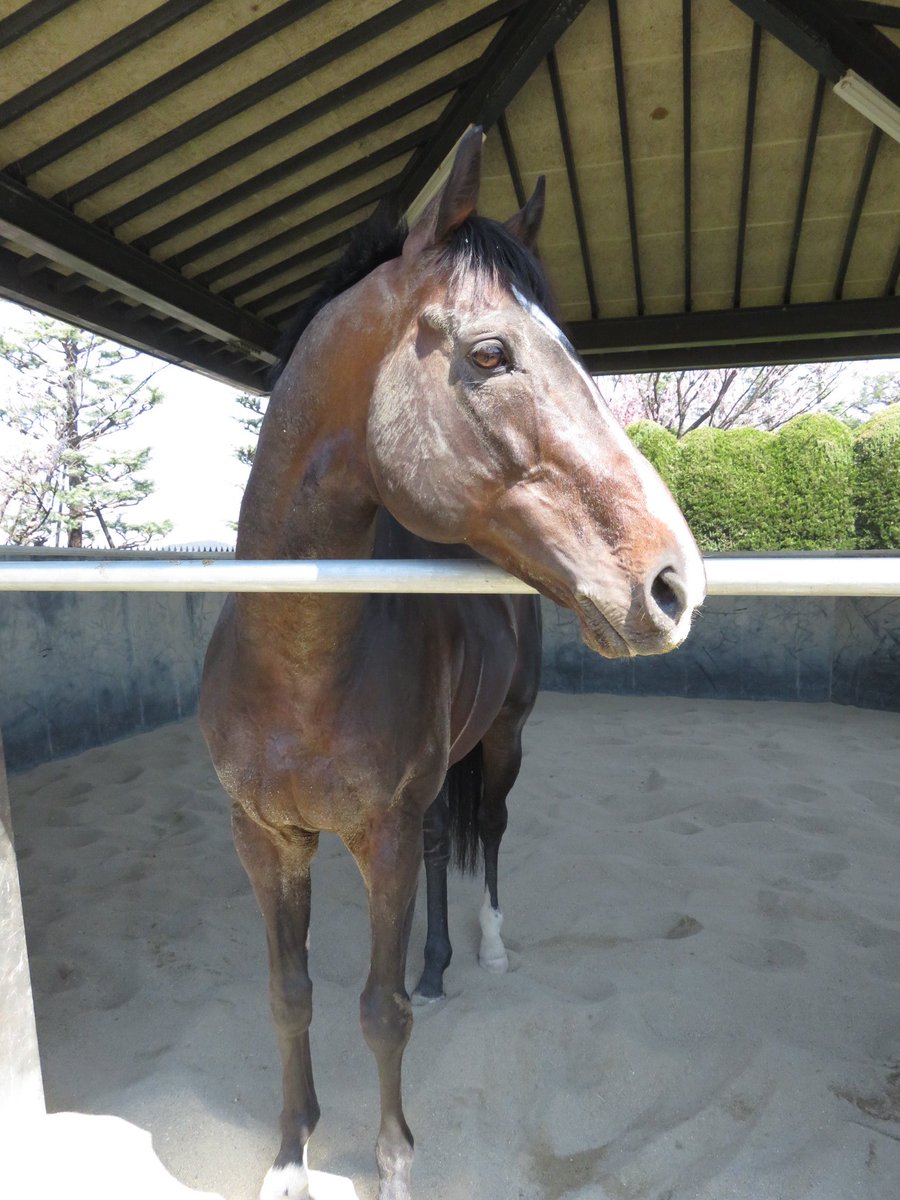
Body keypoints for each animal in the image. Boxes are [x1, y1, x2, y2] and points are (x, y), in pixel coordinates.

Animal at [199, 127, 705, 1200]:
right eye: (490, 353)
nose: (673, 583)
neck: (296, 676)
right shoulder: (265, 840)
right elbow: (290, 995)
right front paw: (291, 1153)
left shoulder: (381, 837)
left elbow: (378, 1009)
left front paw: (393, 1159)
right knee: (444, 849)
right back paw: (437, 964)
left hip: (503, 742)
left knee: (490, 835)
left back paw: (488, 949)